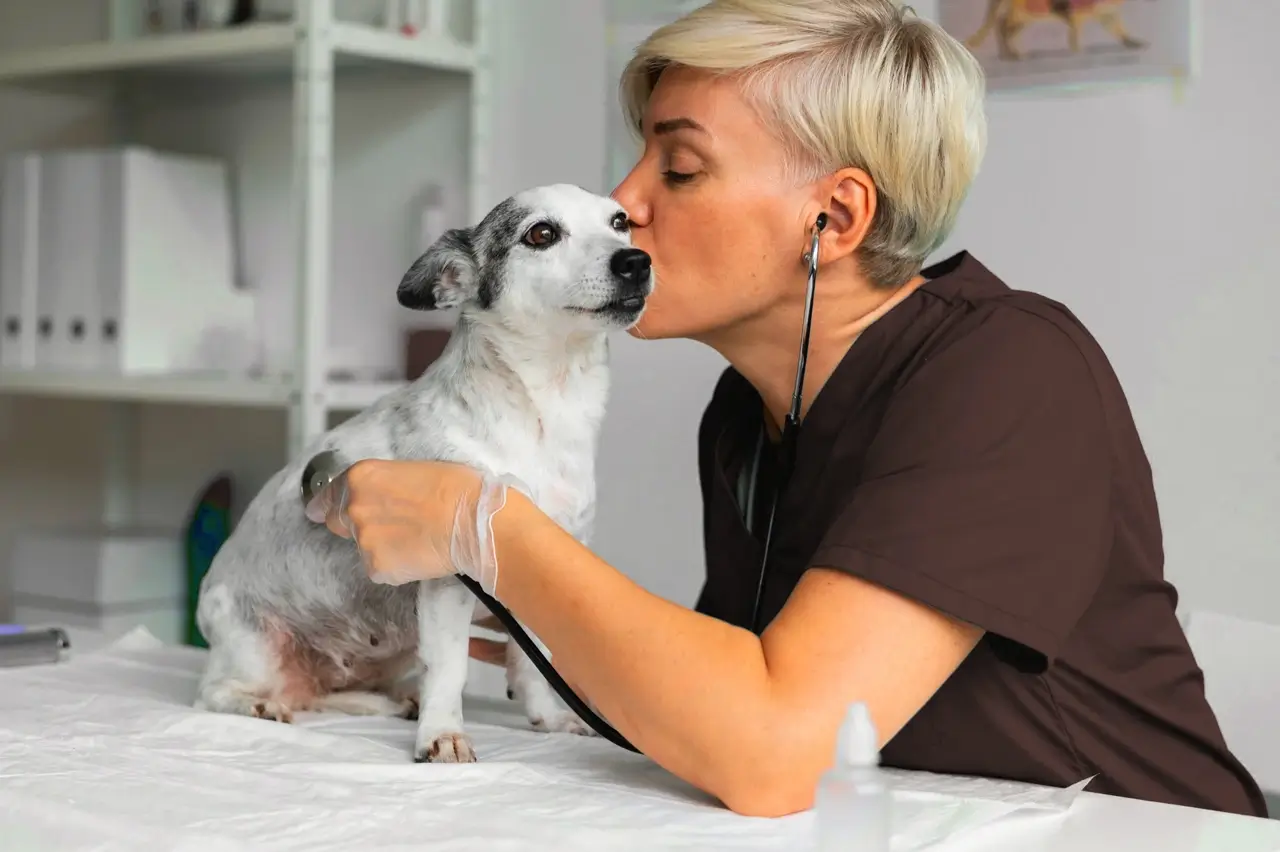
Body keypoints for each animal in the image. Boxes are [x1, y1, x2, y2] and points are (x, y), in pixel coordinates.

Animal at [193, 183, 652, 763]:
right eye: (541, 234)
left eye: (621, 223)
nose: (637, 261)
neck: (544, 414)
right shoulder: (449, 579)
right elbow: (451, 668)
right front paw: (443, 734)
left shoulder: (533, 575)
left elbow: (531, 666)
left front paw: (548, 719)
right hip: (255, 651)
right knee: (217, 693)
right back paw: (258, 704)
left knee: (325, 694)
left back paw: (387, 702)